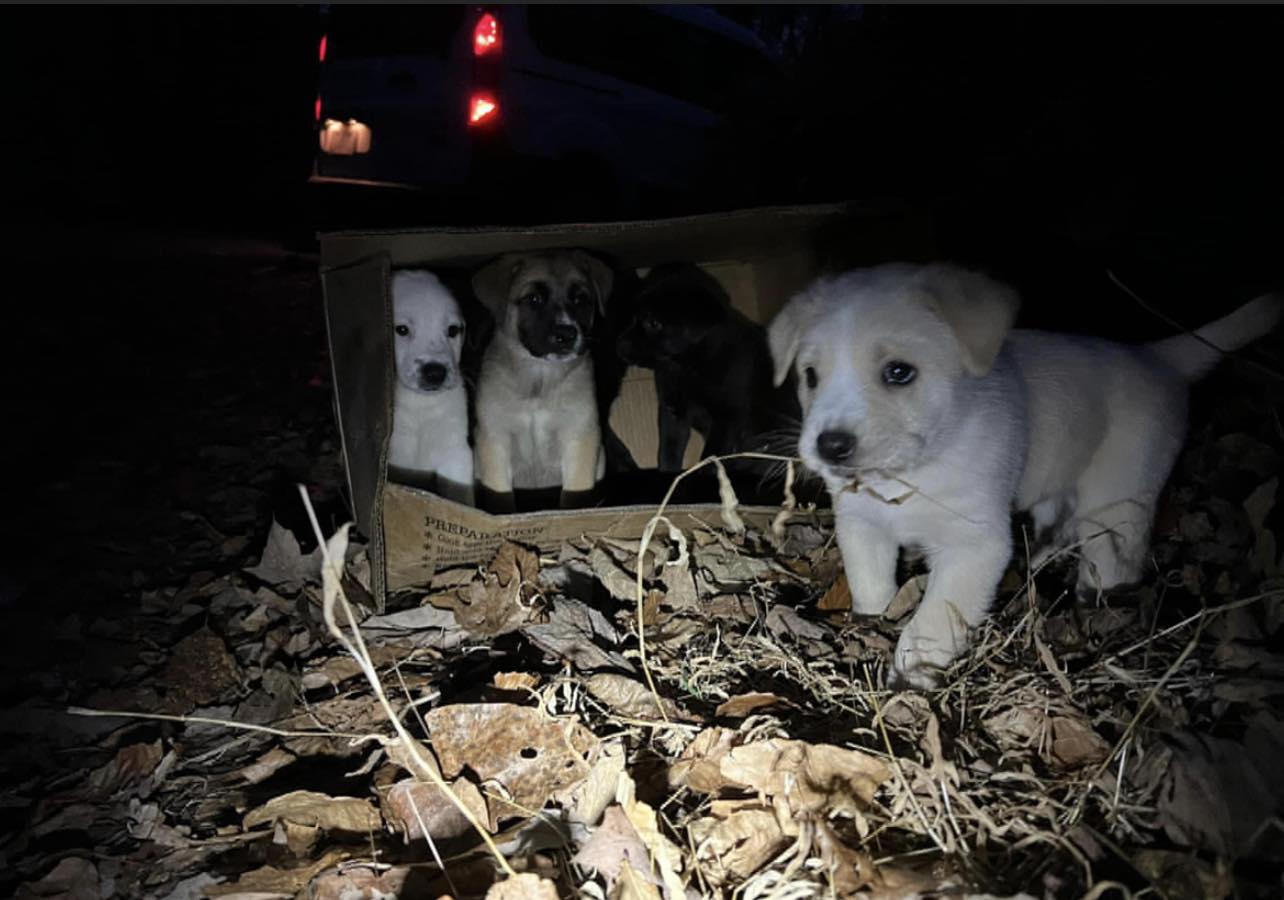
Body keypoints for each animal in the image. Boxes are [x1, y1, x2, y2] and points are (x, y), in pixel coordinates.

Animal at [472, 249, 611, 508]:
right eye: (533, 299)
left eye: (580, 299)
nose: (567, 334)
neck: (540, 378)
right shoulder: (494, 438)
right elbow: (499, 493)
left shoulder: (579, 434)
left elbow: (575, 491)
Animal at [613, 263, 801, 490]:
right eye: (633, 317)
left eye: (654, 323)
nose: (618, 347)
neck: (688, 368)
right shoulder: (672, 410)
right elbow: (668, 449)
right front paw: (669, 476)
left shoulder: (728, 417)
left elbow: (711, 455)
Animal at [765, 261, 1278, 688]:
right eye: (810, 376)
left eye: (899, 372)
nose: (830, 446)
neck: (909, 477)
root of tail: (1156, 358)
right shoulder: (861, 524)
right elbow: (871, 587)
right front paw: (872, 625)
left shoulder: (976, 545)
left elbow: (933, 620)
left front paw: (910, 676)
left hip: (1119, 501)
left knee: (1115, 558)